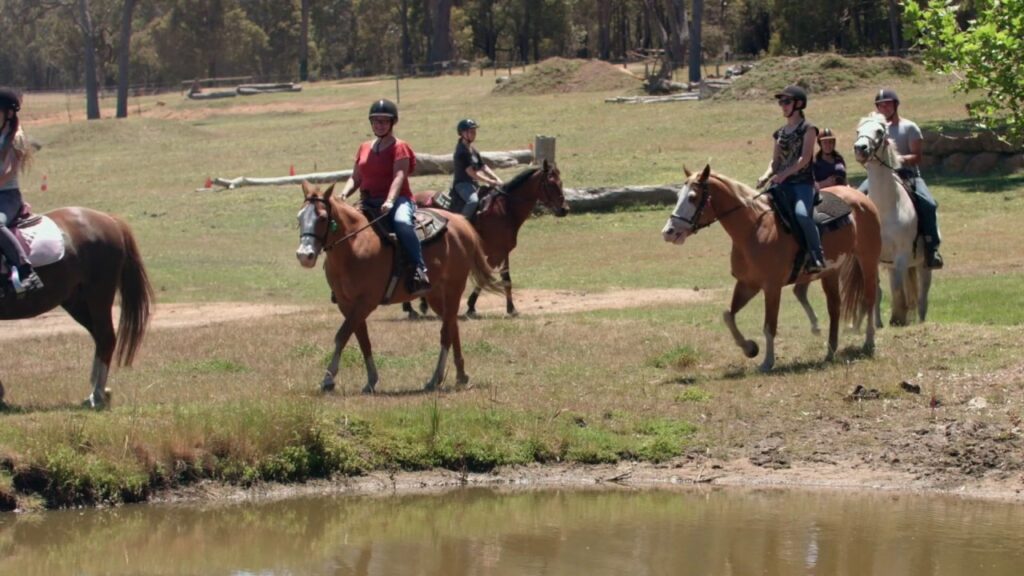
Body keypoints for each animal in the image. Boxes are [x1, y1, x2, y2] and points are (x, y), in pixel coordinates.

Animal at [0, 207, 153, 408]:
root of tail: (109, 219)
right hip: (77, 302)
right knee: (100, 338)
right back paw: (99, 391)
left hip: (98, 295)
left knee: (105, 338)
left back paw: (97, 395)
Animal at [295, 181, 500, 393]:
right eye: (299, 217)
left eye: (322, 217)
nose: (304, 255)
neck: (354, 245)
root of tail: (460, 222)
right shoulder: (347, 303)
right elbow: (362, 339)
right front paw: (371, 380)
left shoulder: (366, 302)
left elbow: (342, 335)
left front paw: (328, 379)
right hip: (436, 294)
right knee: (452, 326)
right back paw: (460, 375)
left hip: (453, 288)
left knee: (446, 333)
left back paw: (435, 378)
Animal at [404, 161, 570, 319]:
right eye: (551, 183)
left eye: (561, 182)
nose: (565, 209)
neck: (505, 210)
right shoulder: (496, 253)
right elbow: (487, 278)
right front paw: (474, 306)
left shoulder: (502, 252)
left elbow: (502, 279)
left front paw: (507, 308)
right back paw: (411, 308)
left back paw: (419, 305)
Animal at [660, 165, 881, 372]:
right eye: (678, 196)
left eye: (692, 197)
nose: (668, 232)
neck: (754, 229)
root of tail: (861, 197)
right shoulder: (747, 284)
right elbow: (728, 315)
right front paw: (750, 348)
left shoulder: (772, 287)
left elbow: (769, 326)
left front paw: (767, 362)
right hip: (830, 271)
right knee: (834, 307)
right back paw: (830, 351)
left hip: (868, 260)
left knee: (869, 298)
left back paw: (869, 342)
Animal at [853, 112, 932, 325]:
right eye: (858, 130)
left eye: (880, 131)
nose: (860, 148)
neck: (885, 210)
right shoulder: (874, 257)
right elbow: (876, 291)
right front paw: (877, 324)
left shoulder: (901, 255)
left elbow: (898, 290)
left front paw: (898, 318)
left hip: (922, 264)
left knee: (922, 296)